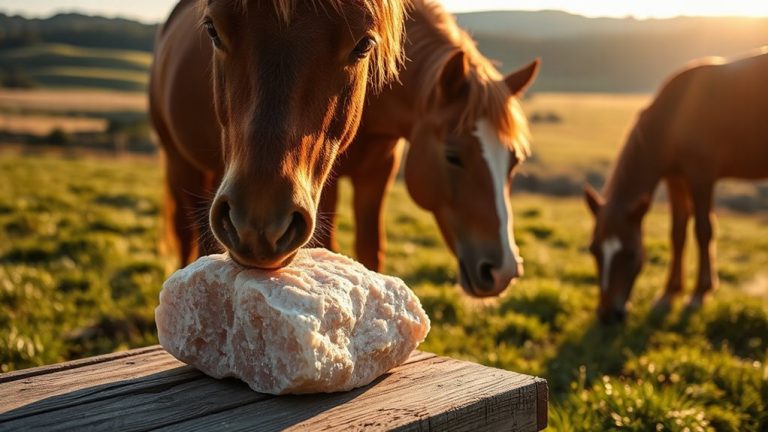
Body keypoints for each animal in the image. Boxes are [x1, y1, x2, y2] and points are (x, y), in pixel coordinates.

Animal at [149, 0, 408, 269]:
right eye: (212, 30)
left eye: (364, 44)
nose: (257, 228)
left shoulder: (378, 174)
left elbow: (370, 248)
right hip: (179, 161)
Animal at [584, 49, 768, 324]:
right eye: (594, 250)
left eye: (630, 253)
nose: (608, 314)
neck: (675, 116)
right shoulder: (675, 179)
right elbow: (678, 233)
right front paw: (669, 293)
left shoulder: (701, 176)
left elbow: (703, 230)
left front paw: (699, 293)